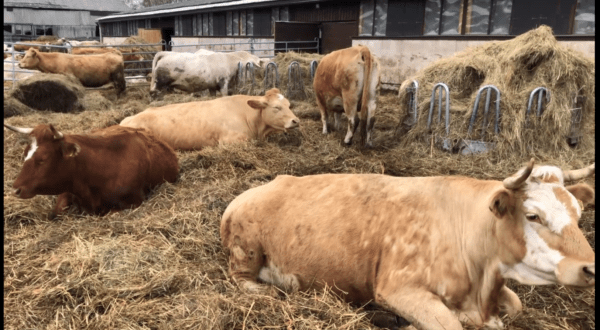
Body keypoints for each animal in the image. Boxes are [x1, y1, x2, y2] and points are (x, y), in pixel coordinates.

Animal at [221, 159, 596, 330]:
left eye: (578, 214)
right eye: (533, 215)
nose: (589, 268)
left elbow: (516, 305)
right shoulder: (397, 288)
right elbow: (449, 324)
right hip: (247, 252)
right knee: (242, 279)